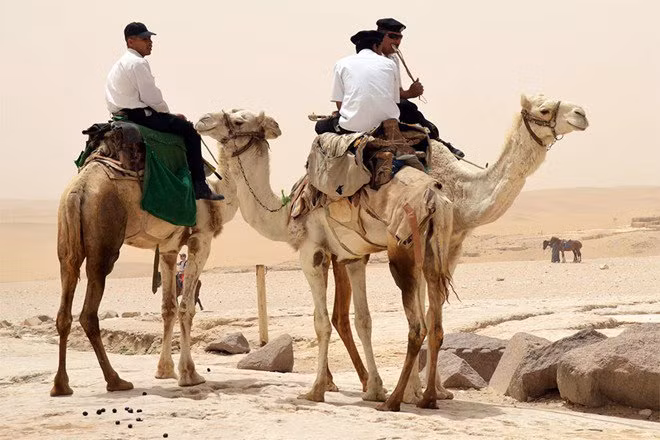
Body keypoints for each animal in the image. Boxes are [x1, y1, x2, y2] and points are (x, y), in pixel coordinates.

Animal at [51, 140, 239, 396]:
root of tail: (78, 190)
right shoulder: (201, 239)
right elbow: (186, 307)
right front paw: (190, 375)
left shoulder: (168, 248)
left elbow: (168, 307)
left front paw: (165, 371)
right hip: (103, 241)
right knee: (89, 312)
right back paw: (115, 381)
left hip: (66, 238)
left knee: (65, 303)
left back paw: (61, 385)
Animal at [195, 109, 454, 411]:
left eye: (238, 120)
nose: (202, 120)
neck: (284, 213)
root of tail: (435, 199)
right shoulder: (353, 257)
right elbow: (363, 321)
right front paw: (374, 389)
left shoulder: (312, 254)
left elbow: (321, 322)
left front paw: (316, 390)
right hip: (433, 253)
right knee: (435, 324)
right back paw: (427, 397)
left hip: (402, 251)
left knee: (417, 326)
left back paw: (394, 401)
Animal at [327, 93, 589, 401]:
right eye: (544, 109)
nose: (581, 114)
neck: (461, 194)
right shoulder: (416, 243)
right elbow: (422, 311)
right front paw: (413, 391)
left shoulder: (453, 247)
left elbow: (435, 312)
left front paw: (438, 390)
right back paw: (355, 384)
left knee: (338, 313)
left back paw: (350, 382)